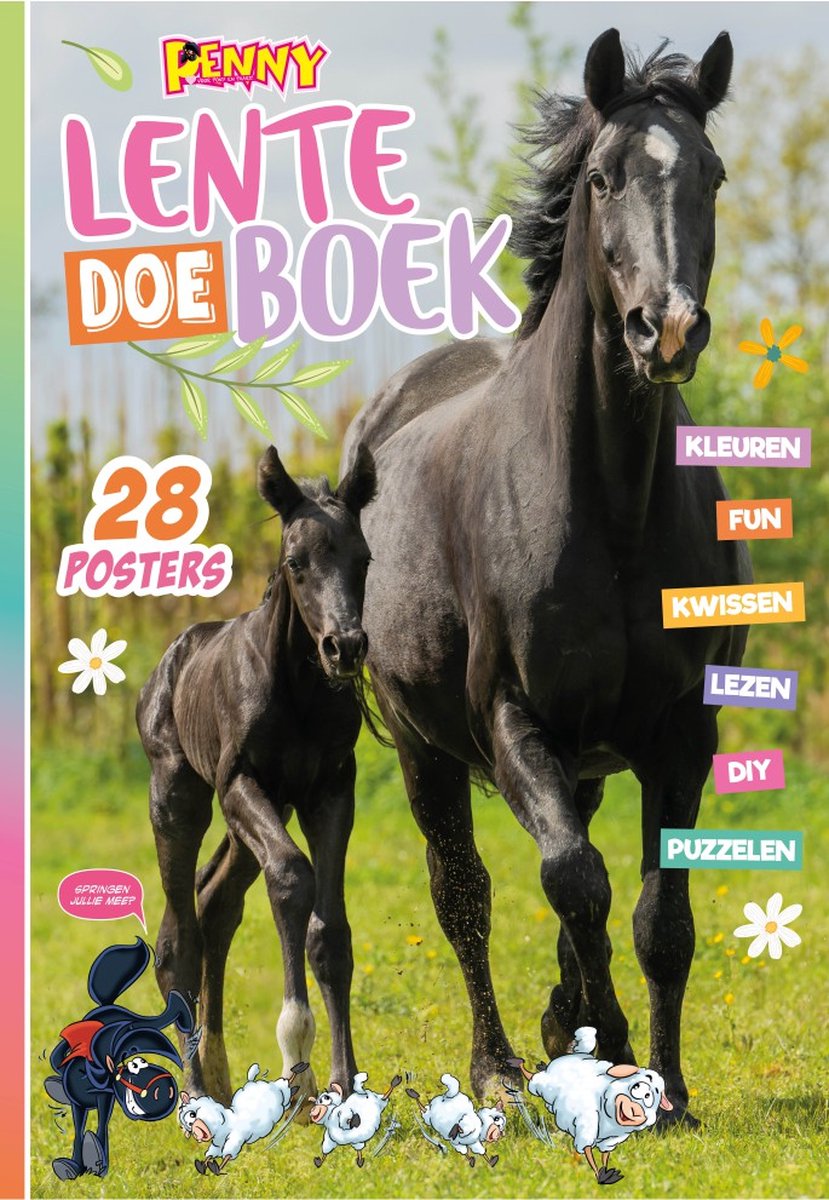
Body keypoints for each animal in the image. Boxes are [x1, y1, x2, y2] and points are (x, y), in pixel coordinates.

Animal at [137, 443, 376, 1108]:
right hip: (182, 798)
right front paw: (298, 1063)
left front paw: (343, 1085)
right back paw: (194, 1091)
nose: (344, 647)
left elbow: (330, 932)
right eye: (296, 562)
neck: (297, 691)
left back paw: (218, 1074)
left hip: (261, 816)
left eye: (364, 559)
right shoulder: (239, 782)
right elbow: (292, 878)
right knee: (180, 939)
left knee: (216, 904)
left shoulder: (330, 790)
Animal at [341, 29, 750, 1121]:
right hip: (424, 751)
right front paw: (606, 1046)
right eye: (604, 177)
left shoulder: (681, 732)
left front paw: (668, 1087)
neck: (607, 510)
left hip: (585, 757)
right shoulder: (511, 720)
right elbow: (574, 880)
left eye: (710, 174)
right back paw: (496, 1064)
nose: (668, 329)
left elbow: (658, 917)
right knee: (465, 893)